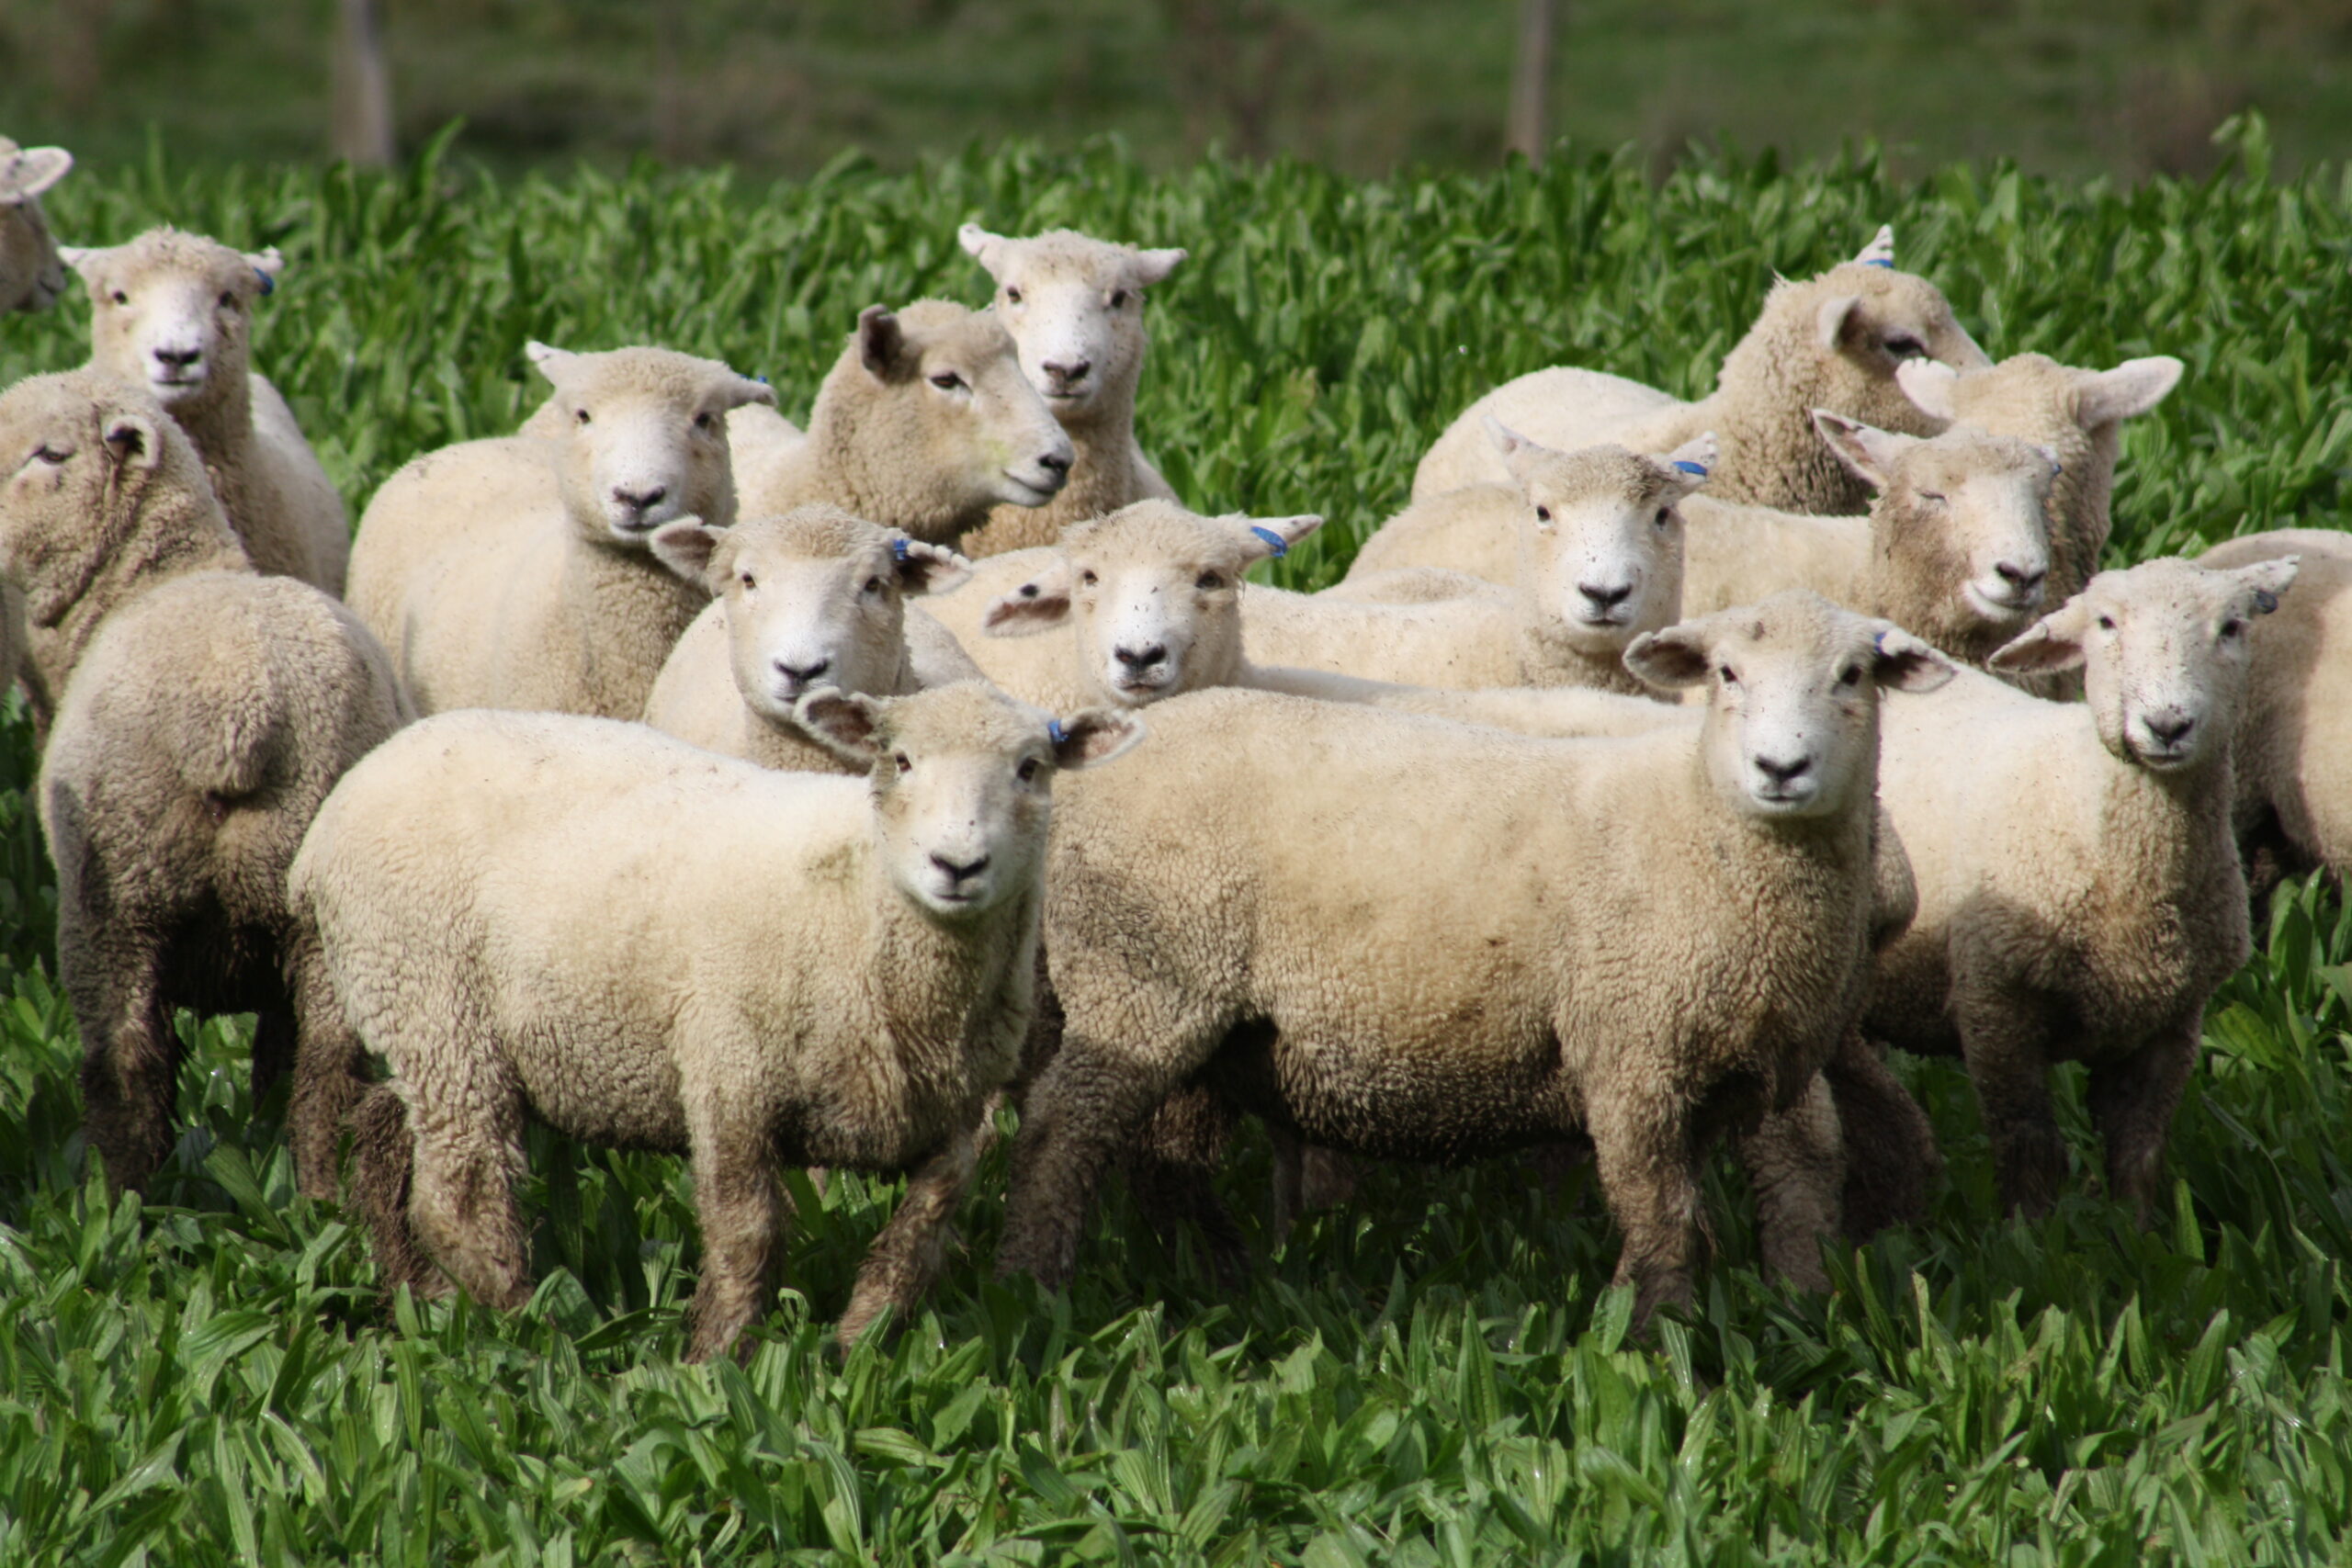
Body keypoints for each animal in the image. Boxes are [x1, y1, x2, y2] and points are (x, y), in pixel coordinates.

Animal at [0, 370, 407, 1196]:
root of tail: (241, 705)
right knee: (328, 1066)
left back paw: (122, 1197)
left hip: (116, 895)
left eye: (50, 453)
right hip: (321, 912)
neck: (157, 575)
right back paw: (320, 1197)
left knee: (126, 1060)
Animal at [293, 682, 1143, 1359]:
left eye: (1031, 767)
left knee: (383, 1131)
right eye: (900, 760)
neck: (863, 900)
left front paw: (854, 1351)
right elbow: (747, 1235)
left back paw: (421, 1297)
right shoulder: (729, 1070)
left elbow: (918, 1239)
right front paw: (718, 1363)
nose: (957, 864)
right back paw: (536, 1328)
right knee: (460, 1196)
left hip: (425, 1023)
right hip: (435, 999)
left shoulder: (958, 1116)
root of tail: (338, 806)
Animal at [998, 592, 1954, 1326]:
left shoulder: (1760, 1060)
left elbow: (1776, 1183)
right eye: (1726, 674)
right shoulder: (1632, 1053)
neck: (1702, 826)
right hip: (1140, 979)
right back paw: (1035, 1287)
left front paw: (1770, 1313)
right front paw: (1656, 1339)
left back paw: (1221, 1273)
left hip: (1209, 1021)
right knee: (1059, 1134)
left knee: (1168, 1154)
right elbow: (1665, 1216)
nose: (1780, 767)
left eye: (1854, 675)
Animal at [1865, 556, 2295, 1220]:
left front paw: (2138, 1234)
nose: (2166, 724)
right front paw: (2031, 1236)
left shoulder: (2171, 1025)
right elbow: (2030, 1148)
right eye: (2106, 623)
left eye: (2231, 627)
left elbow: (2139, 1155)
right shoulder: (1994, 1001)